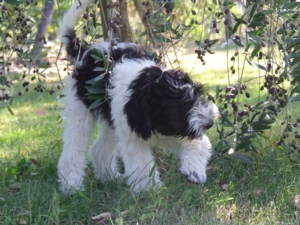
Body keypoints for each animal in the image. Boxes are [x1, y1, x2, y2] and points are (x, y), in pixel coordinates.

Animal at [57, 0, 219, 193]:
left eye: (197, 96)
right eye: (181, 107)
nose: (209, 123)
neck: (143, 89)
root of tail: (84, 52)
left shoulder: (170, 128)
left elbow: (199, 142)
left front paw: (194, 170)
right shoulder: (139, 130)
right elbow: (141, 163)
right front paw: (149, 190)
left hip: (111, 119)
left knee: (99, 150)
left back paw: (111, 178)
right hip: (81, 112)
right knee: (73, 150)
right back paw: (71, 185)